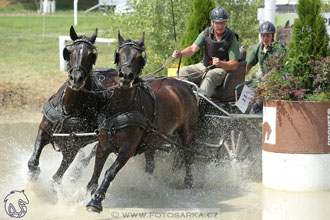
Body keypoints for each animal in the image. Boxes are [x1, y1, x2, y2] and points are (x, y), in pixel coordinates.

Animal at [27, 26, 117, 186]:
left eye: (91, 55)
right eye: (70, 52)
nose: (76, 78)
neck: (68, 110)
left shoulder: (71, 151)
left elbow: (56, 178)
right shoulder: (43, 130)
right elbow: (32, 162)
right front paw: (33, 176)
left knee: (95, 151)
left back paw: (78, 170)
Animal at [85, 32, 199, 213]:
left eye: (139, 57)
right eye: (120, 54)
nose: (125, 76)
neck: (121, 109)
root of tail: (185, 85)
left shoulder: (127, 149)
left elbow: (109, 172)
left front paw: (96, 200)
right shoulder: (103, 144)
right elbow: (96, 171)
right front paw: (86, 193)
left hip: (187, 133)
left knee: (188, 155)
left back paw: (188, 183)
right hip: (152, 139)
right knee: (151, 164)